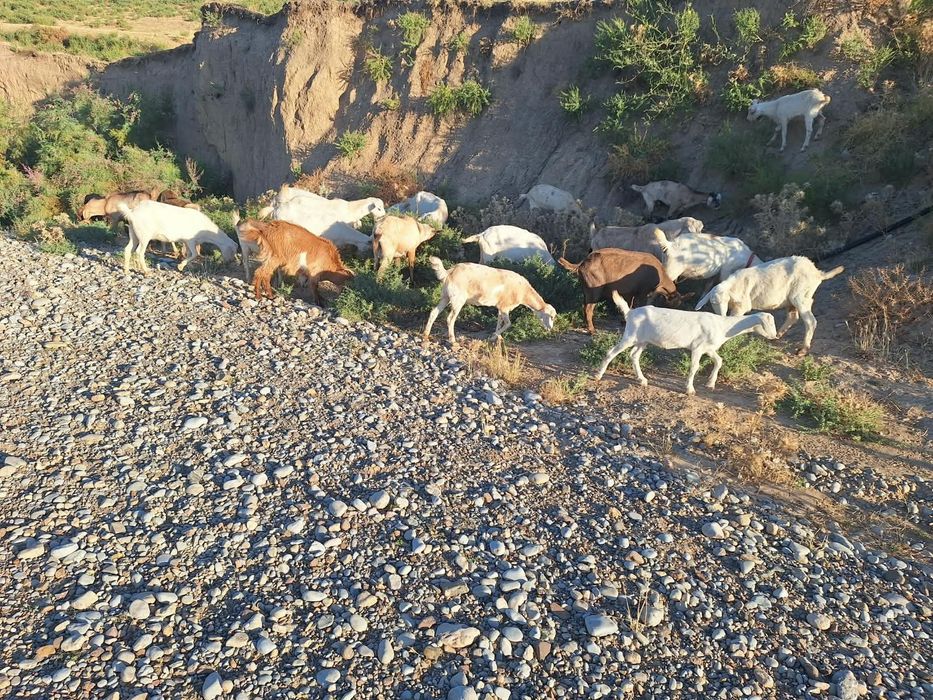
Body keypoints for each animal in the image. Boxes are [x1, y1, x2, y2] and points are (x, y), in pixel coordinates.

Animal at [423, 257, 557, 347]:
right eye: (551, 316)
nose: (550, 329)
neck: (524, 292)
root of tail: (449, 272)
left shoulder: (501, 307)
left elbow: (499, 321)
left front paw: (497, 337)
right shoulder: (505, 307)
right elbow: (508, 324)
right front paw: (493, 337)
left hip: (445, 296)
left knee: (433, 312)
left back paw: (425, 335)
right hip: (458, 299)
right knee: (450, 319)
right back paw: (453, 341)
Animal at [595, 291, 778, 395]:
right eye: (769, 324)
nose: (775, 336)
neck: (723, 326)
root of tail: (630, 312)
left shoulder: (708, 348)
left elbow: (719, 361)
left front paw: (710, 383)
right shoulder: (697, 347)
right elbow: (695, 367)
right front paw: (690, 389)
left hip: (643, 341)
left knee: (634, 356)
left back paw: (642, 380)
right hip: (630, 336)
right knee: (611, 352)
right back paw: (598, 375)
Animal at [695, 256, 844, 355]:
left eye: (723, 302)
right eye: (713, 304)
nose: (720, 314)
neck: (733, 284)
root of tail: (817, 273)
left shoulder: (741, 306)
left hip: (801, 295)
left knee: (810, 321)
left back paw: (803, 349)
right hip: (790, 299)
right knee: (793, 317)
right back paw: (777, 335)